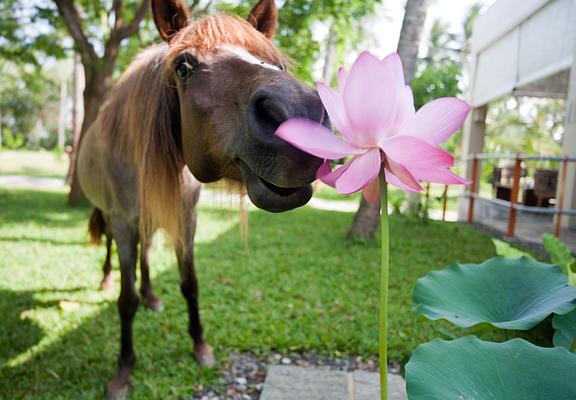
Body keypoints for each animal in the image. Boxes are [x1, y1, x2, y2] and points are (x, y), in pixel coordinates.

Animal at [77, 0, 328, 396]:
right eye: (184, 67)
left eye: (279, 63)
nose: (299, 114)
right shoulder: (123, 220)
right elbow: (125, 300)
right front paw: (123, 370)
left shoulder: (186, 220)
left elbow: (190, 284)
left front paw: (199, 345)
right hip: (108, 212)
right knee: (111, 250)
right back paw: (105, 279)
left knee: (147, 254)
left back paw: (151, 295)